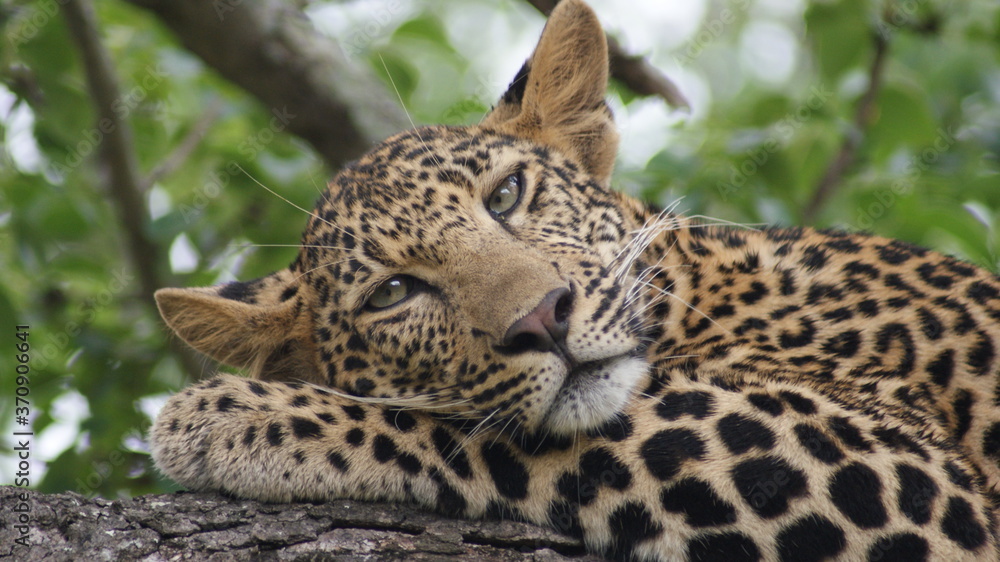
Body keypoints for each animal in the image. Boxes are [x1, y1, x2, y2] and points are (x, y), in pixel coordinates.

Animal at [149, 1, 1000, 560]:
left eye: (505, 196)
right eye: (392, 293)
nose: (543, 319)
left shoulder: (919, 474)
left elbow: (475, 428)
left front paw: (231, 416)